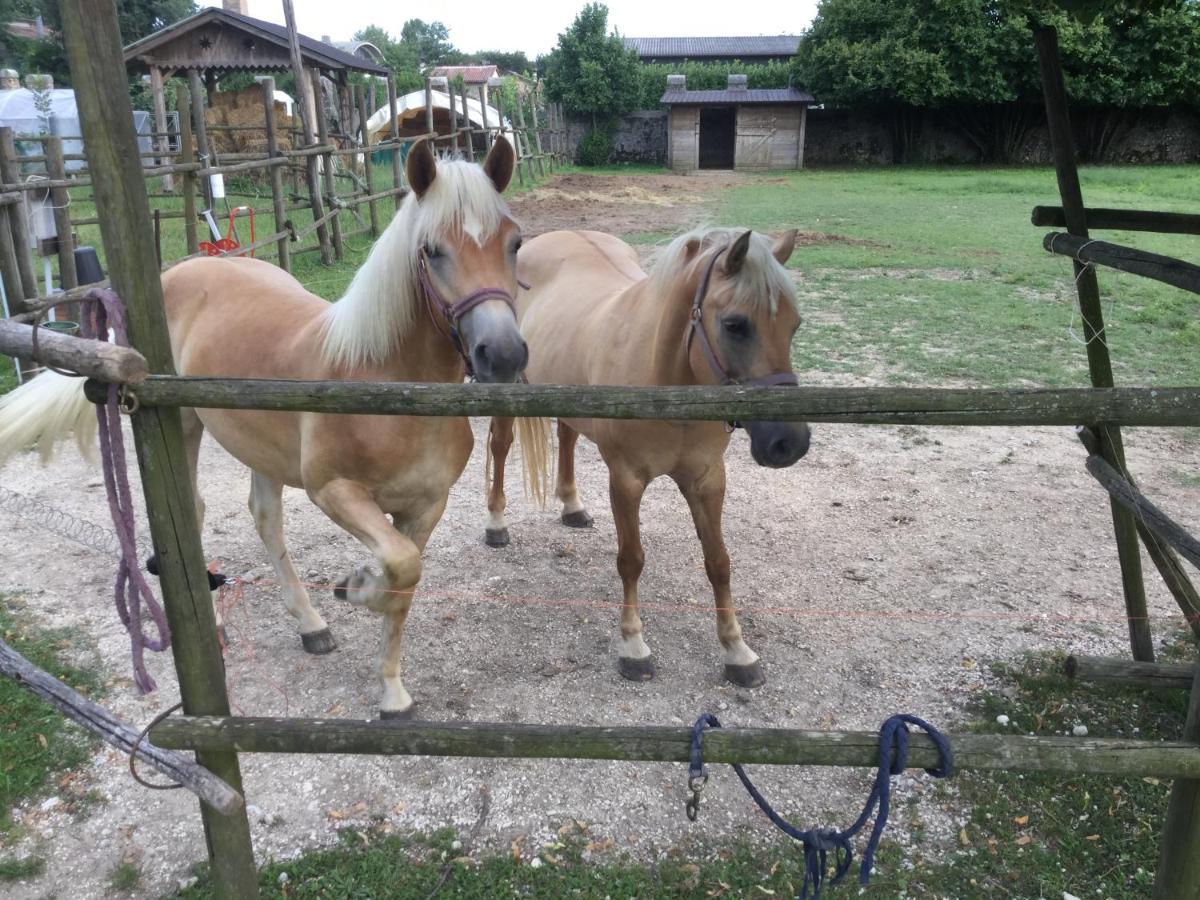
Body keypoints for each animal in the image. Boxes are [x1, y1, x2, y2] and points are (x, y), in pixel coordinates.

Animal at [0, 137, 549, 724]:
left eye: (514, 242)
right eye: (432, 250)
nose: (503, 354)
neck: (388, 384)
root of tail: (185, 271)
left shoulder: (425, 506)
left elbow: (405, 581)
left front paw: (392, 692)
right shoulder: (333, 491)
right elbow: (398, 567)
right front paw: (355, 586)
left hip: (261, 449)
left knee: (266, 519)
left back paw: (311, 625)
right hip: (184, 423)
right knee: (192, 514)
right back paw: (217, 625)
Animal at [482, 226, 811, 691]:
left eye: (794, 325)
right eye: (735, 325)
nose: (789, 441)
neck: (667, 379)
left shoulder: (708, 480)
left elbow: (719, 562)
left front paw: (737, 650)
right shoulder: (626, 480)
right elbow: (632, 560)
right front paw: (633, 646)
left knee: (566, 435)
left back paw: (572, 506)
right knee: (501, 445)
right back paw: (496, 523)